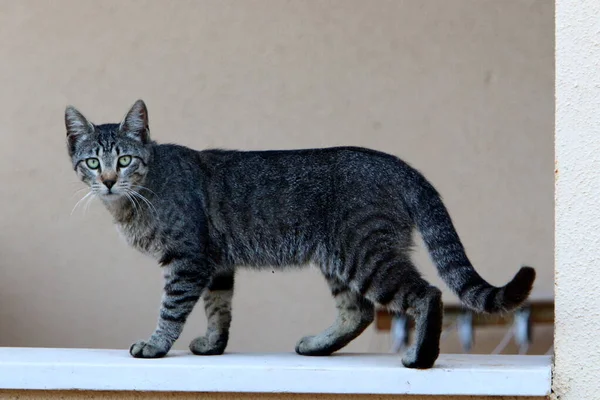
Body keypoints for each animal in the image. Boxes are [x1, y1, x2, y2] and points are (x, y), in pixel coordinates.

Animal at [64, 99, 536, 368]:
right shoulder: (216, 265)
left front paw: (156, 345)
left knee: (426, 294)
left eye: (125, 160)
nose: (108, 180)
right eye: (93, 162)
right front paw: (213, 345)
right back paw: (319, 345)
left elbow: (172, 309)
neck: (137, 197)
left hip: (366, 255)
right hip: (340, 260)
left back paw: (421, 358)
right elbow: (219, 310)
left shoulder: (188, 261)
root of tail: (400, 165)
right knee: (358, 312)